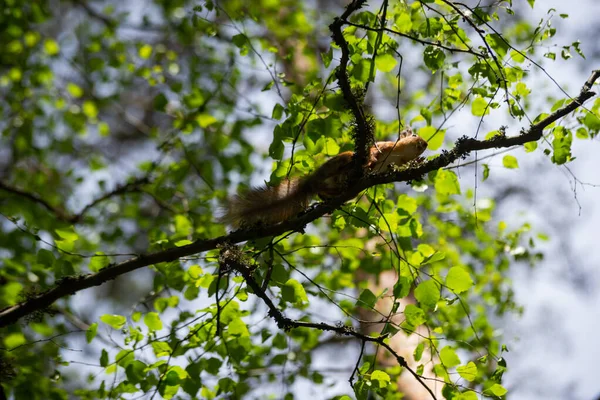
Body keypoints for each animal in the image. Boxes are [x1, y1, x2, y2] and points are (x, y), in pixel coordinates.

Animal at [221, 129, 426, 228]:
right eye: (415, 135)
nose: (425, 143)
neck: (398, 154)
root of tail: (311, 182)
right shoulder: (383, 146)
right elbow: (374, 153)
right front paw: (371, 162)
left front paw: (418, 161)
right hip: (340, 161)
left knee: (325, 191)